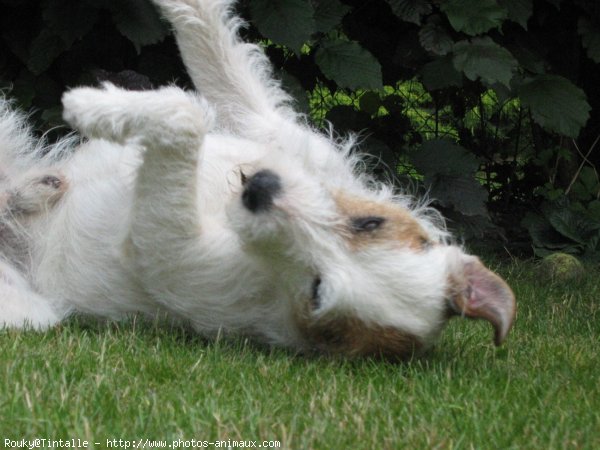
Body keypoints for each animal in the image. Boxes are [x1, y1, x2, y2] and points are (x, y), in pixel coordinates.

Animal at [0, 0, 516, 358]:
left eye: (318, 291)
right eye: (369, 223)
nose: (261, 189)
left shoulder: (169, 253)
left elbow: (186, 116)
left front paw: (90, 105)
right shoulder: (268, 129)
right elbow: (217, 57)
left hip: (32, 313)